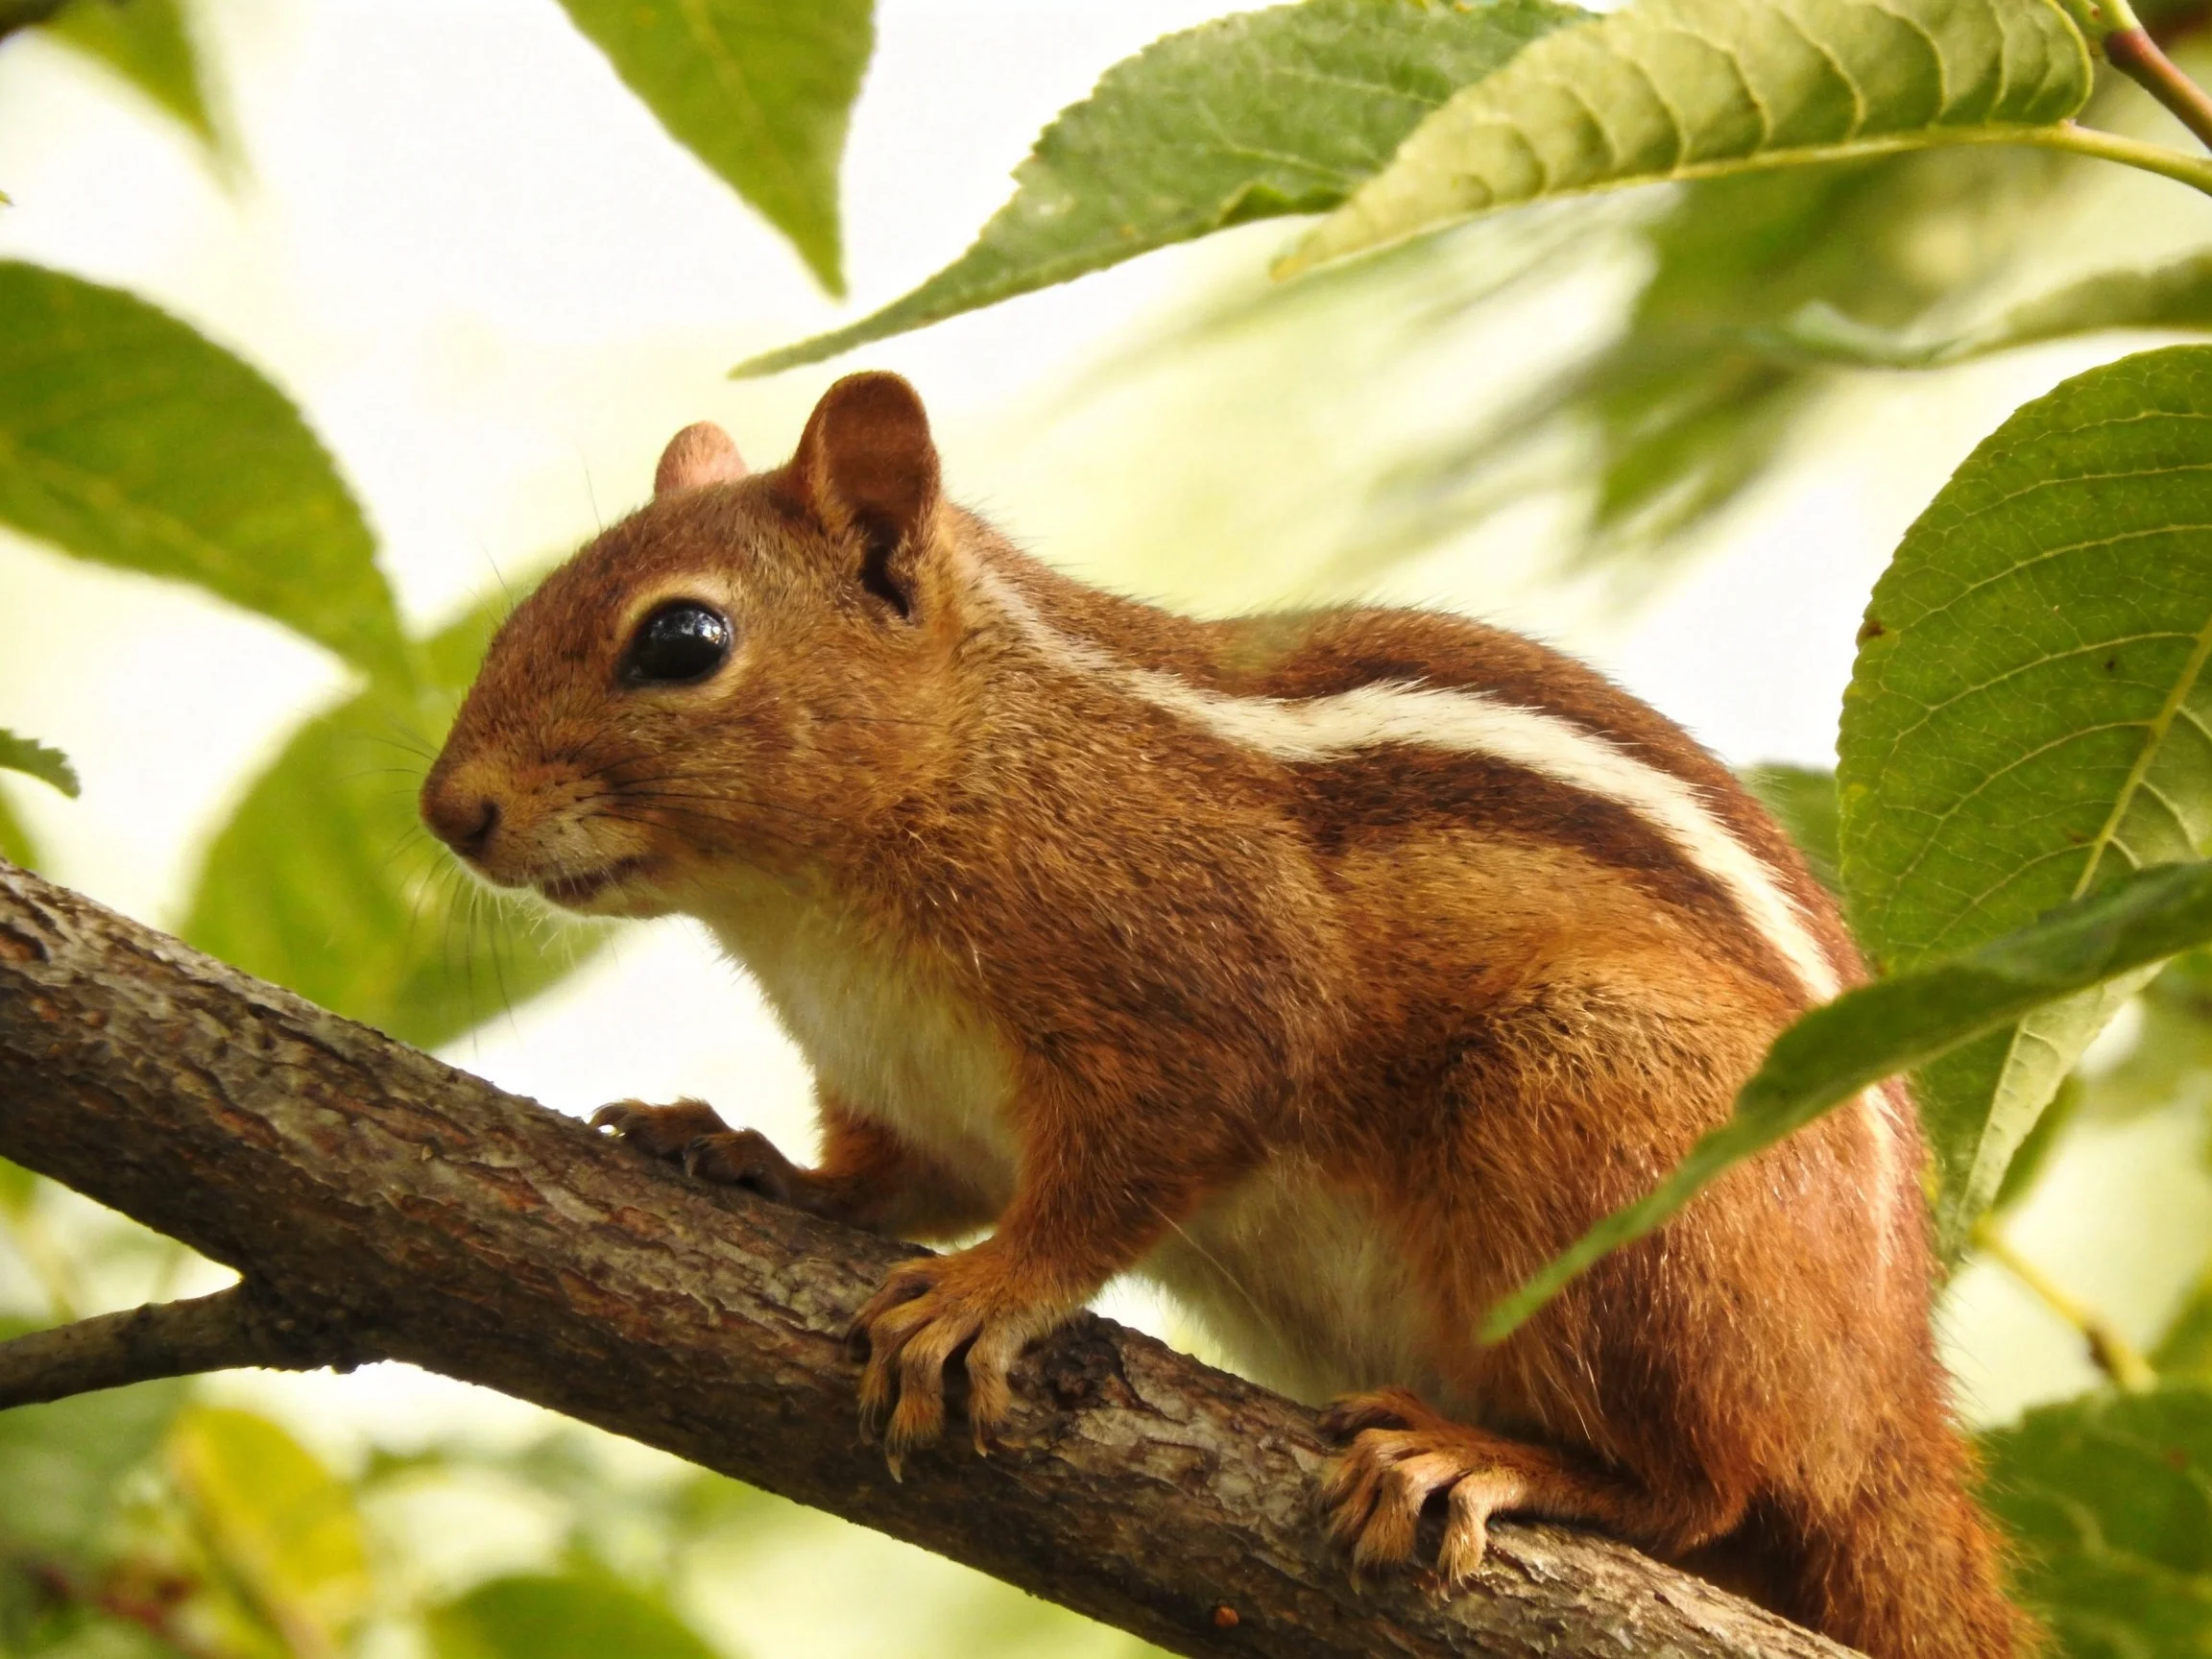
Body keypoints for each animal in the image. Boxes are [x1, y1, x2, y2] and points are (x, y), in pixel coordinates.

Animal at [421, 371, 2024, 1659]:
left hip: (1596, 1123)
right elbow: (886, 1183)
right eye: (520, 614)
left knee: (1710, 1482)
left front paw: (990, 1294)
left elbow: (1124, 1174)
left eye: (682, 639)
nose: (450, 812)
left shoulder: (1193, 1008)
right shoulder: (908, 1095)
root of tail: (1891, 1398)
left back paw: (1487, 1462)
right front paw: (742, 1154)